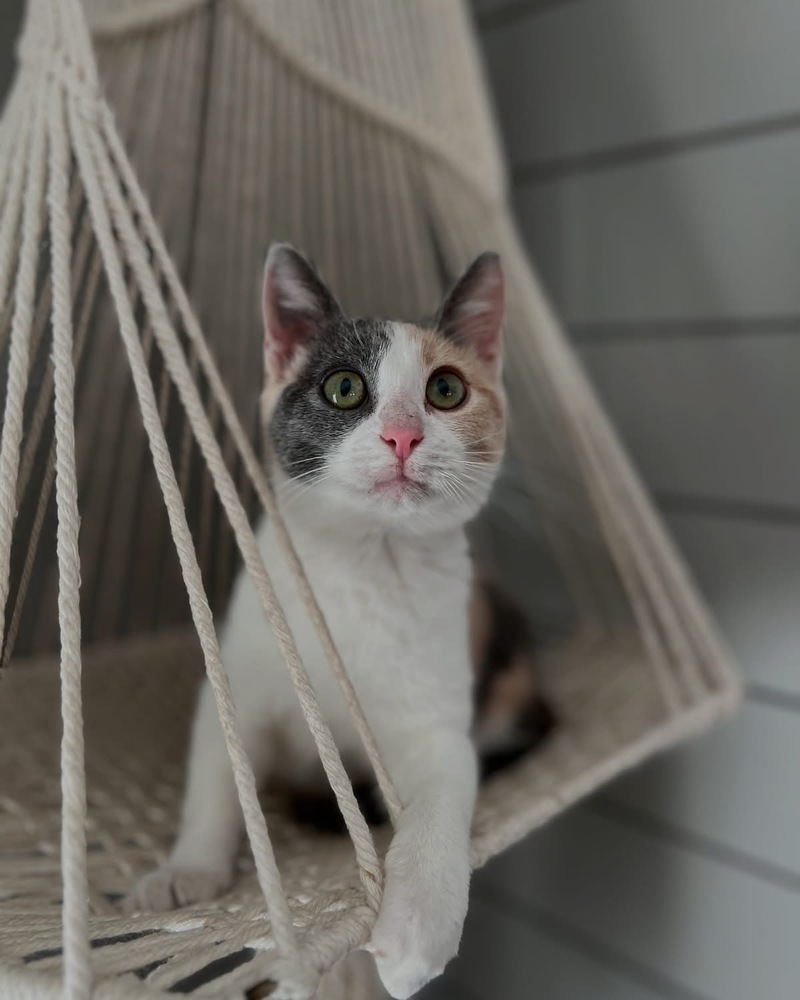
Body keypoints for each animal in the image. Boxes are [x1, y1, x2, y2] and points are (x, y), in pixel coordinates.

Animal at [131, 244, 552, 1000]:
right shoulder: (238, 677)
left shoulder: (439, 725)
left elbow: (442, 798)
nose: (403, 434)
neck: (365, 563)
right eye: (345, 388)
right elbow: (219, 771)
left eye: (447, 391)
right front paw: (189, 869)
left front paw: (417, 925)